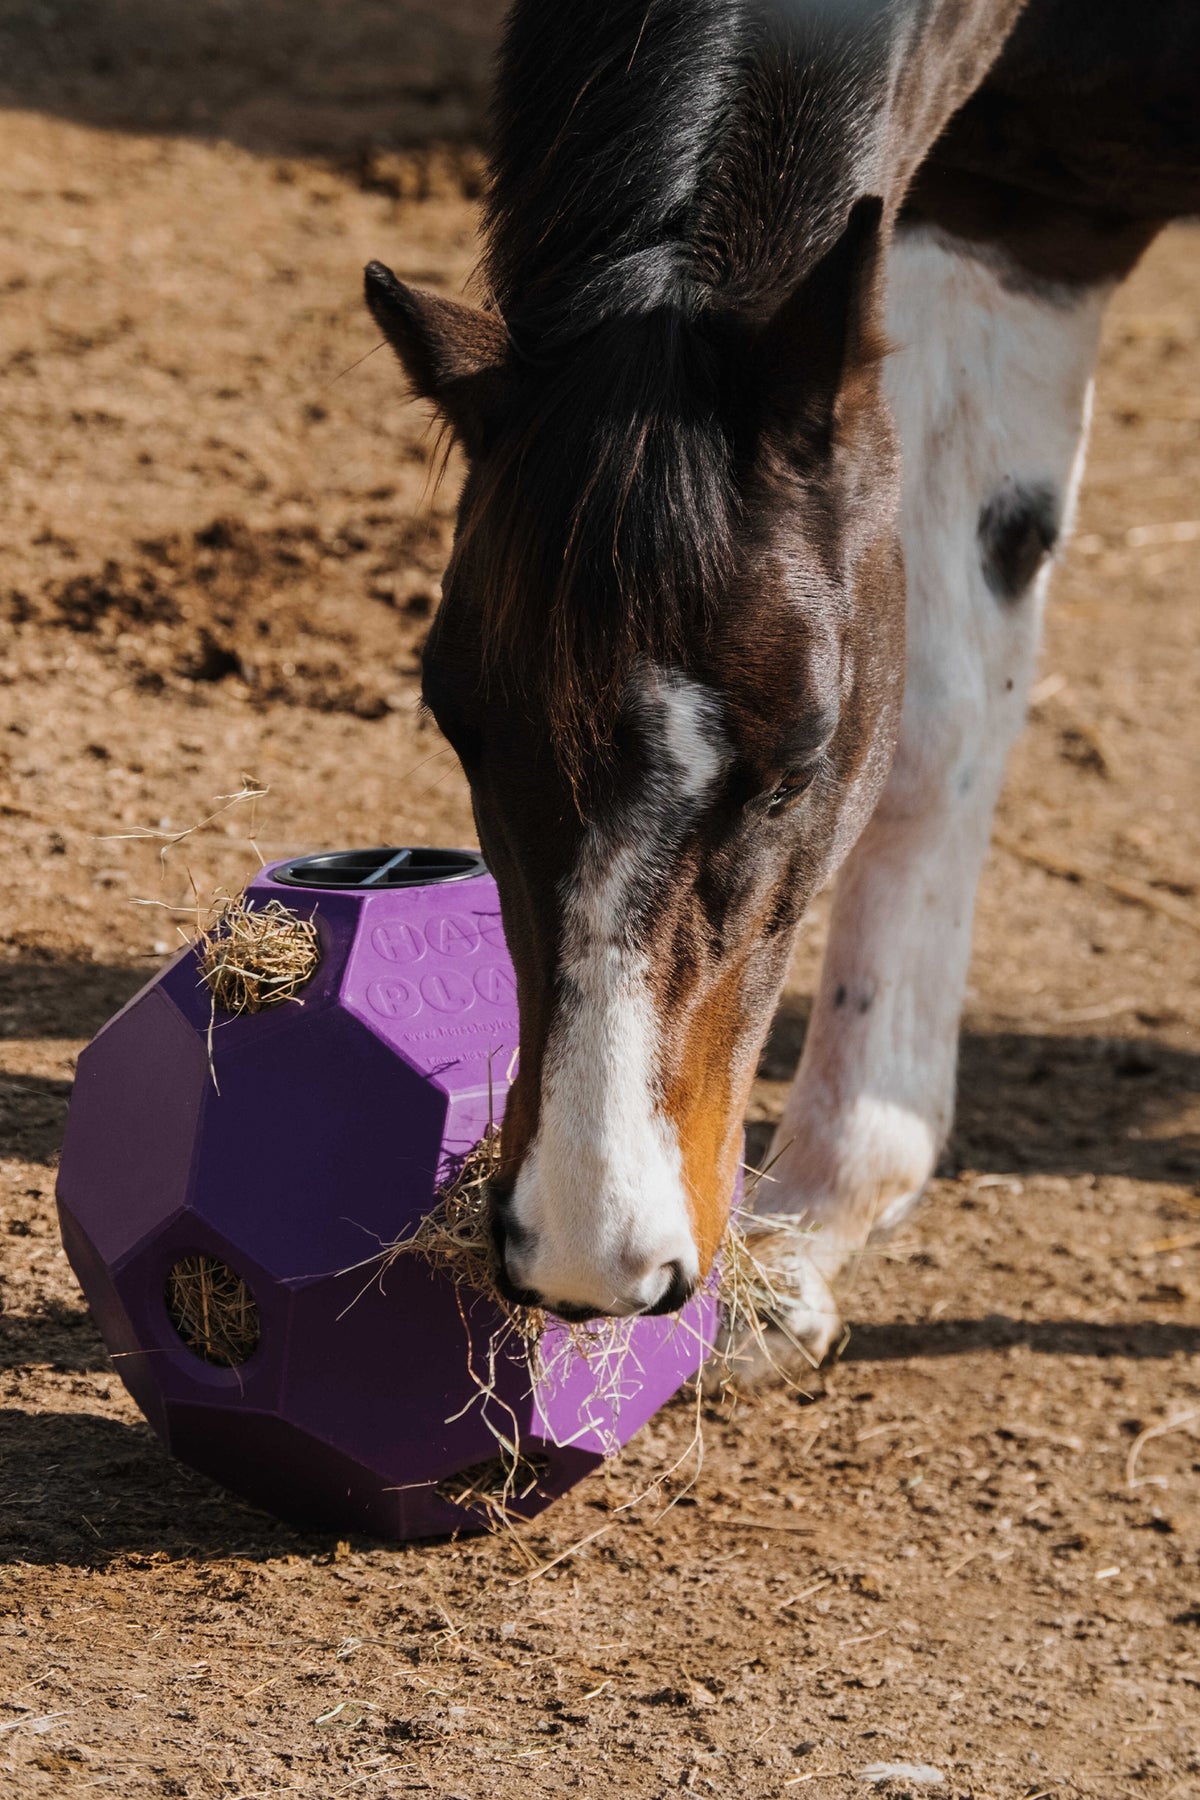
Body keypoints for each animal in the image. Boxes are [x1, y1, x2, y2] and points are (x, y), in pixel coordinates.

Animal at [363, 0, 1200, 1357]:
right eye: (455, 724)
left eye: (798, 764)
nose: (592, 1253)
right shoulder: (1020, 203)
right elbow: (946, 710)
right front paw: (818, 1223)